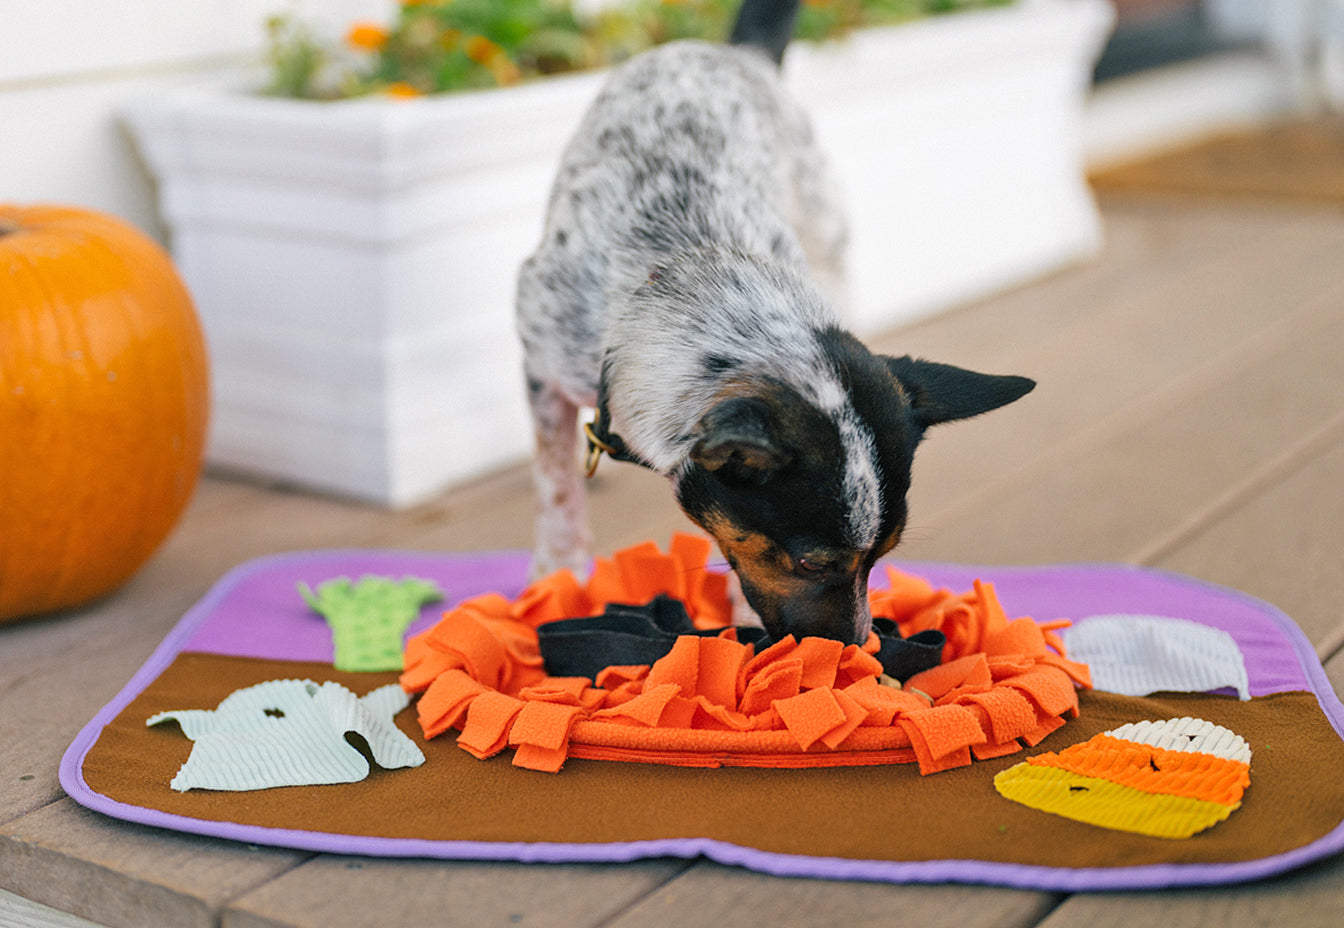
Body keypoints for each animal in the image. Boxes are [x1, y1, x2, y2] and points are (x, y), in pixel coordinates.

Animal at [518, 0, 1032, 642]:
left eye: (884, 555)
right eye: (812, 562)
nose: (857, 647)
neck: (688, 259)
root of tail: (739, 55)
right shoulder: (542, 363)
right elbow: (555, 485)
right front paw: (558, 571)